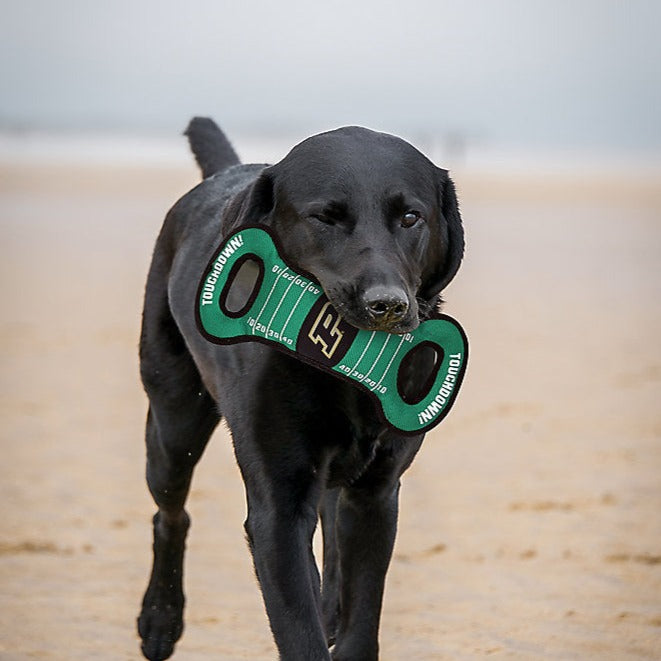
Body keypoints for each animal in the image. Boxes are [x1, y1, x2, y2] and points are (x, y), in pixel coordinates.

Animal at [137, 116, 462, 656]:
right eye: (324, 218)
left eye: (411, 217)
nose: (387, 305)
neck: (342, 373)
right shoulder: (278, 509)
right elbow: (298, 629)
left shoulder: (376, 496)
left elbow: (361, 617)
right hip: (173, 423)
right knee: (171, 513)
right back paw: (160, 619)